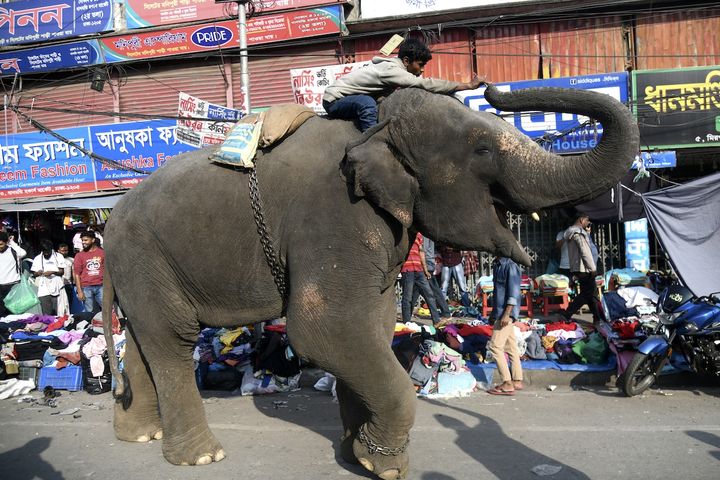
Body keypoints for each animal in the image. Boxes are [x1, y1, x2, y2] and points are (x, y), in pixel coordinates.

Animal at [100, 83, 636, 480]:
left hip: (141, 265)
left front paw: (355, 454)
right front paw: (386, 465)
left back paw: (139, 435)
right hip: (144, 254)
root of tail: (110, 221)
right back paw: (202, 457)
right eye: (483, 148)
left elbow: (371, 328)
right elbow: (326, 330)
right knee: (172, 339)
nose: (490, 87)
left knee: (144, 341)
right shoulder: (335, 215)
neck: (379, 126)